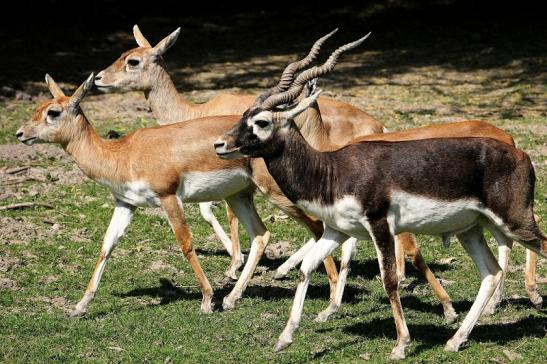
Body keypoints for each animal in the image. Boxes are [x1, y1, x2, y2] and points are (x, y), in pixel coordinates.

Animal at [16, 73, 272, 316]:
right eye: (38, 107)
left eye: (53, 112)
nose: (20, 133)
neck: (123, 155)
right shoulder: (125, 203)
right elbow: (107, 245)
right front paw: (79, 307)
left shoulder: (168, 197)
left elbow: (186, 244)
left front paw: (207, 301)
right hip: (238, 195)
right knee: (261, 235)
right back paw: (231, 299)